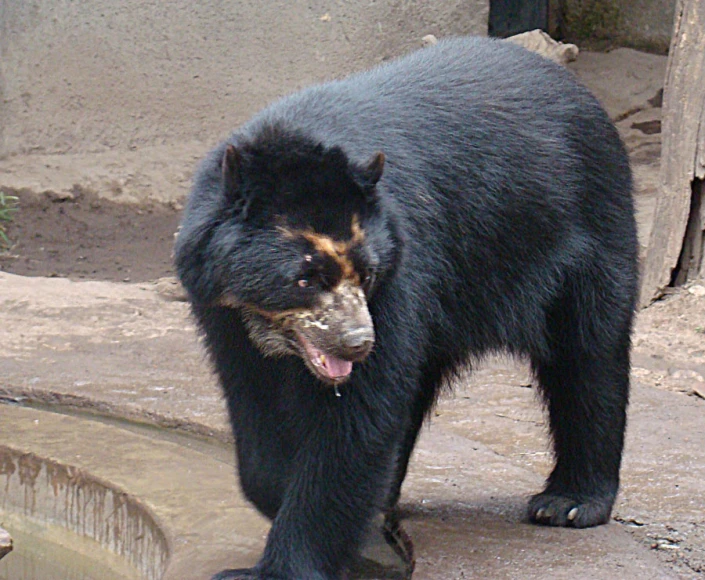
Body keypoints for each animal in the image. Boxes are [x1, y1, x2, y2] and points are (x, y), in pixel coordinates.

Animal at [176, 37, 640, 580]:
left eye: (368, 273)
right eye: (305, 278)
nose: (357, 343)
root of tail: (579, 91)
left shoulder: (404, 274)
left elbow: (359, 418)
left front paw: (283, 563)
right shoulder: (222, 310)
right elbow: (254, 400)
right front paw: (277, 488)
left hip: (587, 236)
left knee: (588, 358)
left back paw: (569, 502)